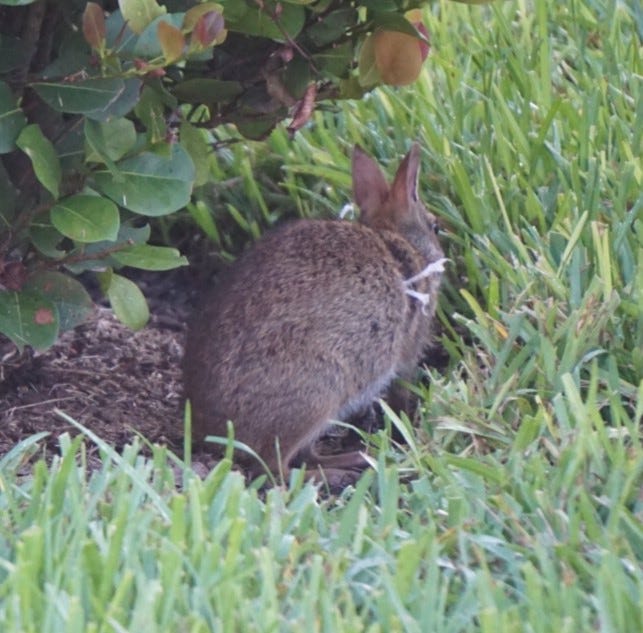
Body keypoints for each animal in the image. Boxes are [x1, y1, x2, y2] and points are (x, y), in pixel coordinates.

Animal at [183, 143, 445, 488]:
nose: (442, 253)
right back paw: (335, 473)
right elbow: (401, 387)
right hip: (319, 393)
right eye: (435, 226)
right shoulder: (407, 352)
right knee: (274, 467)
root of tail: (209, 430)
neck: (396, 240)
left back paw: (350, 459)